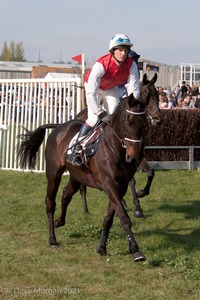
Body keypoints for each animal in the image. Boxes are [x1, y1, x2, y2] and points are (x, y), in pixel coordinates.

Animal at [16, 73, 161, 262]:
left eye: (143, 123)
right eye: (128, 122)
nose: (158, 118)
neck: (117, 148)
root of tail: (59, 126)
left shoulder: (120, 186)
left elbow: (110, 217)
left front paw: (102, 247)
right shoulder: (109, 184)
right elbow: (123, 217)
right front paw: (136, 250)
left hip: (76, 175)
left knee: (66, 194)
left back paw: (59, 221)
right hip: (53, 173)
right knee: (50, 201)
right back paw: (52, 238)